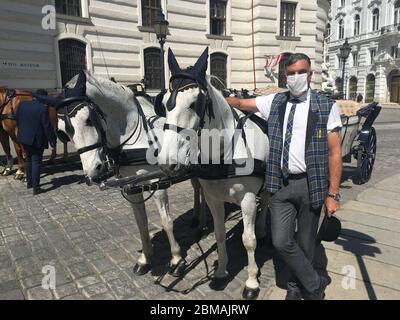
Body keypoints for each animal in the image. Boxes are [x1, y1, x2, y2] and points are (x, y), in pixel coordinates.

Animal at [46, 71, 206, 276]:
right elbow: (141, 223)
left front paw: (177, 259)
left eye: (89, 119)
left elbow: (166, 221)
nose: (93, 171)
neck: (136, 137)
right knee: (197, 187)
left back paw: (202, 223)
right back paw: (197, 218)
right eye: (62, 131)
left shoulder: (158, 183)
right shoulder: (131, 186)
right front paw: (145, 258)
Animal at [156, 48, 268, 300]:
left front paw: (252, 281)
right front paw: (221, 270)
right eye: (165, 104)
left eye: (194, 103)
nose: (167, 164)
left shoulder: (247, 200)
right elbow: (218, 234)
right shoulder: (213, 199)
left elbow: (249, 241)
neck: (224, 154)